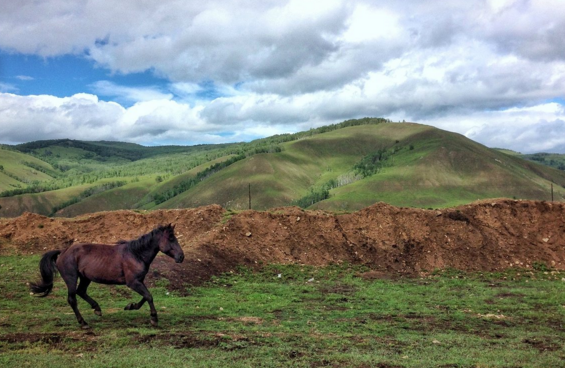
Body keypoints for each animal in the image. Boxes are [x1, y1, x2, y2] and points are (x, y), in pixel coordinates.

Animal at [29, 223, 184, 330]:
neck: (135, 254)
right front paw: (154, 319)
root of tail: (63, 252)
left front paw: (130, 306)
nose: (181, 257)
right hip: (71, 279)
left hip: (85, 278)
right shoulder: (133, 282)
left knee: (81, 292)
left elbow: (145, 297)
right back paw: (83, 323)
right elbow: (149, 296)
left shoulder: (139, 281)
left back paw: (97, 309)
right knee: (72, 299)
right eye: (171, 238)